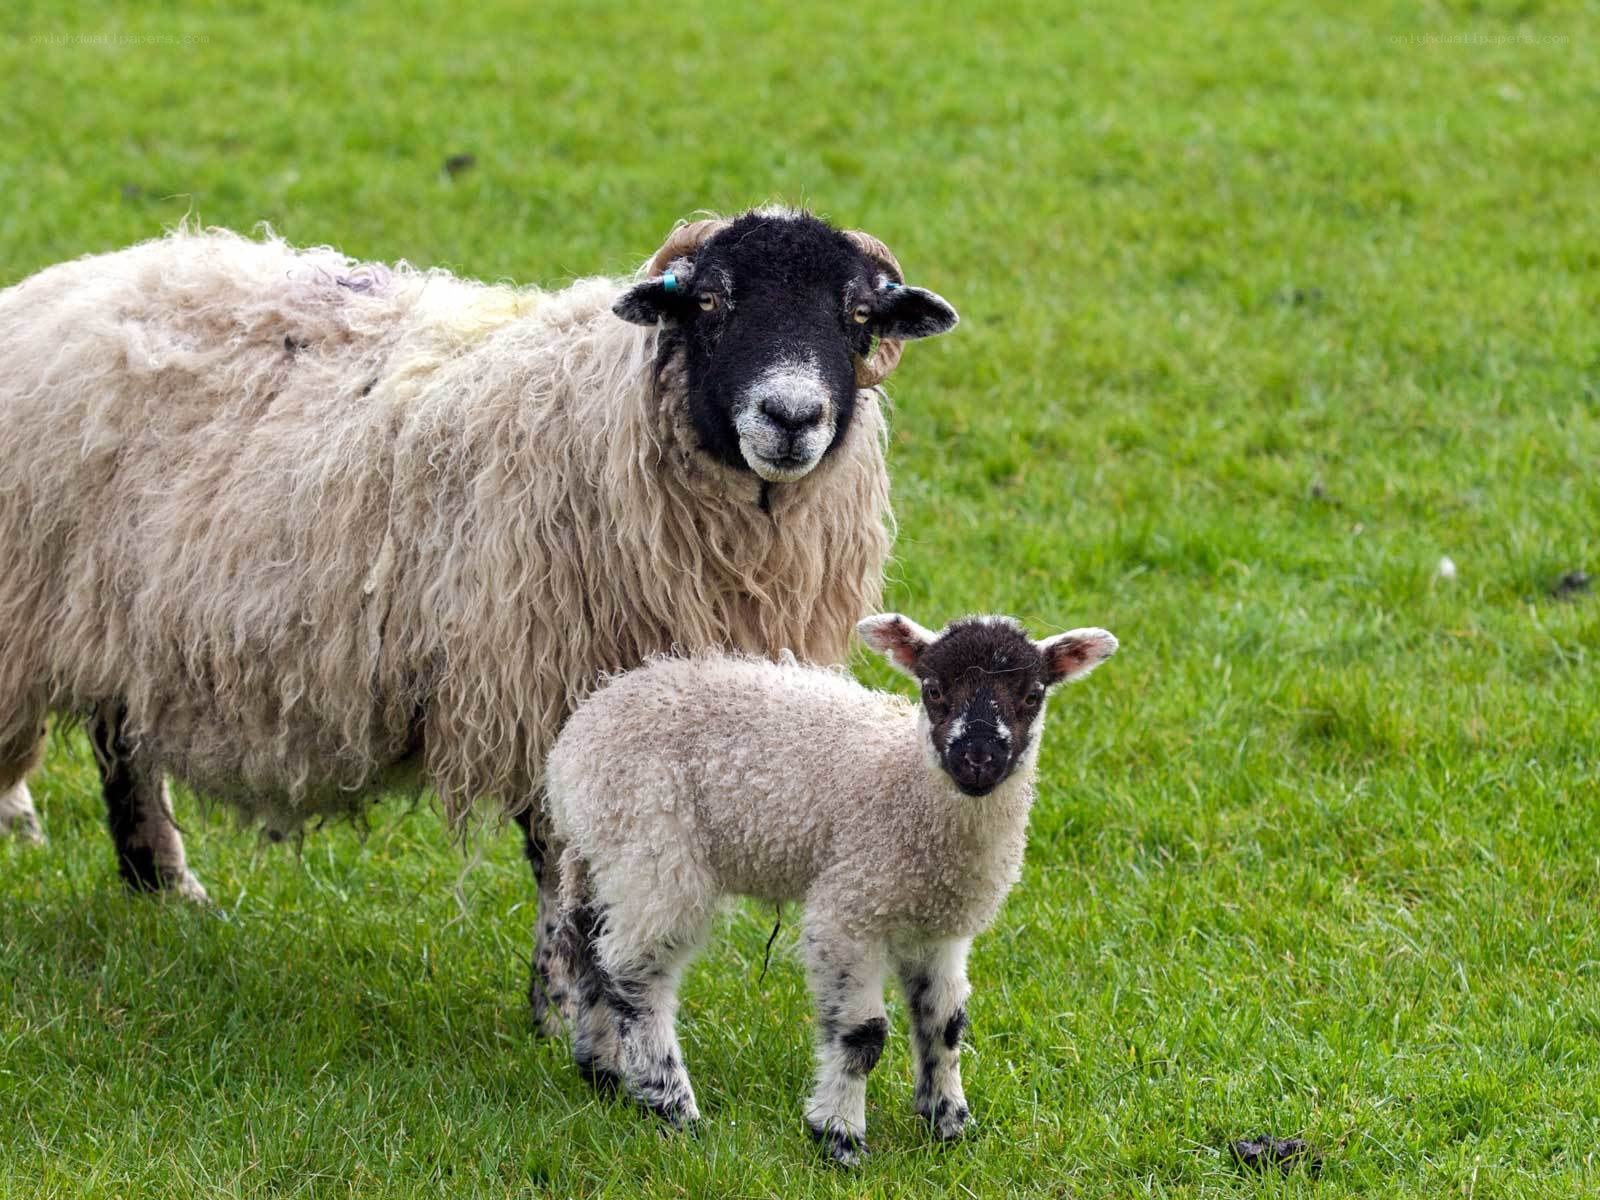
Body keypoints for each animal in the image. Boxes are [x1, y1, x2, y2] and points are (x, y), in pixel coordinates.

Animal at [0, 207, 960, 1031]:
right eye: (712, 301)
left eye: (858, 313)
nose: (790, 416)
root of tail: (68, 282)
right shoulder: (550, 687)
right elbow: (561, 862)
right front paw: (565, 1011)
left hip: (117, 616)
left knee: (120, 740)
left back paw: (162, 885)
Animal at [544, 612, 1119, 1163]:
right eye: (934, 690)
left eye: (1032, 695)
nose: (977, 758)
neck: (907, 789)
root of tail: (575, 739)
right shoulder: (850, 907)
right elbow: (863, 1035)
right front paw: (839, 1137)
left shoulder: (939, 926)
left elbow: (946, 1024)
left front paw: (949, 1126)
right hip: (654, 849)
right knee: (636, 971)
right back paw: (673, 1106)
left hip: (606, 856)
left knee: (589, 947)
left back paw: (603, 1071)